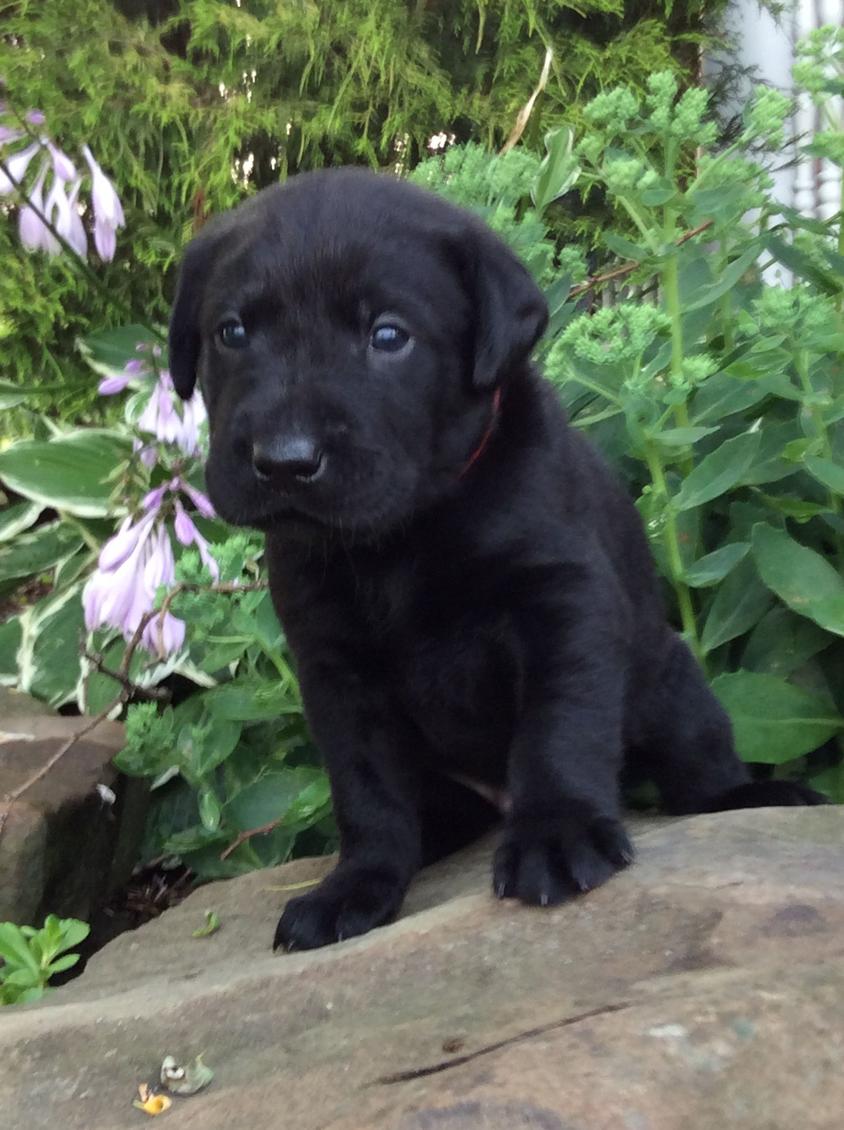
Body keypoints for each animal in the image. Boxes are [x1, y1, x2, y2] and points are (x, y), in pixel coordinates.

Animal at [169, 164, 827, 944]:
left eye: (388, 335)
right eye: (231, 332)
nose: (283, 461)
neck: (402, 536)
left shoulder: (561, 604)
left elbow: (558, 728)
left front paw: (556, 834)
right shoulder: (334, 667)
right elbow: (367, 791)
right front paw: (356, 885)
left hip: (675, 688)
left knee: (699, 770)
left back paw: (754, 795)